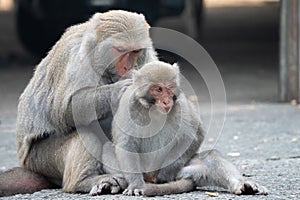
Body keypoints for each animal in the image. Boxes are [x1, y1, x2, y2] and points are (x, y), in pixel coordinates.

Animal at [0, 10, 157, 196]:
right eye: (120, 50)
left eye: (135, 51)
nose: (127, 67)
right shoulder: (75, 56)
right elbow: (64, 111)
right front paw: (119, 89)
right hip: (41, 159)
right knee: (84, 131)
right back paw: (84, 182)